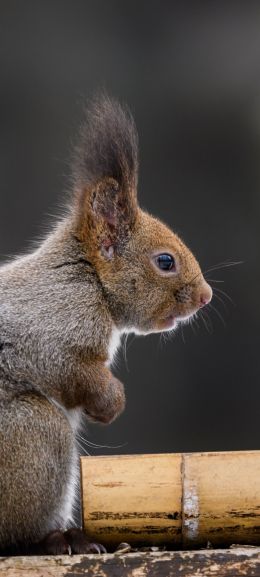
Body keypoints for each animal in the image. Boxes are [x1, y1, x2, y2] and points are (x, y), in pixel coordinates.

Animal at [0, 95, 212, 552]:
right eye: (165, 261)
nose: (205, 297)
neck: (88, 278)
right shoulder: (51, 326)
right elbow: (69, 368)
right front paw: (111, 402)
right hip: (33, 435)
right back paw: (60, 539)